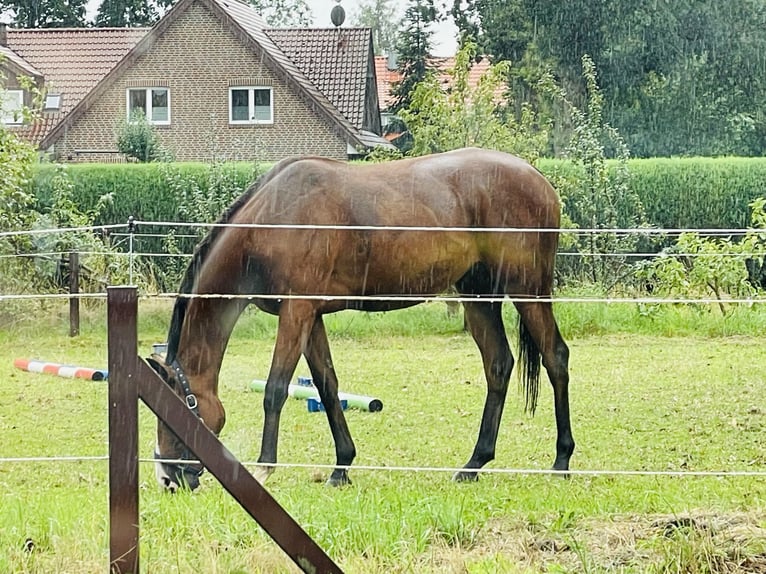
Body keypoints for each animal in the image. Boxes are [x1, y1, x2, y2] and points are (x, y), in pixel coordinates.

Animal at [148, 147, 576, 490]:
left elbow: (276, 389)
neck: (273, 219)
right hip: (478, 296)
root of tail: (540, 180)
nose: (169, 478)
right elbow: (326, 386)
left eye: (173, 414)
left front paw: (264, 468)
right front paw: (342, 466)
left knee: (555, 357)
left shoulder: (296, 311)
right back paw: (473, 464)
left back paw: (561, 461)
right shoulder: (311, 317)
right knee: (499, 364)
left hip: (528, 292)